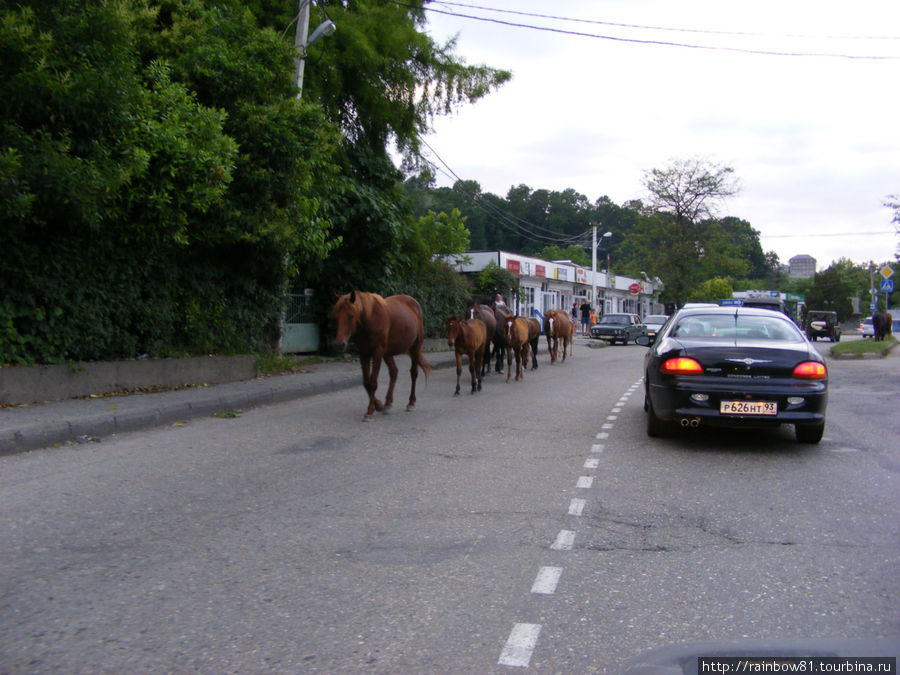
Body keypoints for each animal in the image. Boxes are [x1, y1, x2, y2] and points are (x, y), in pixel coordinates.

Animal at [334, 292, 432, 422]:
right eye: (336, 316)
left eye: (351, 316)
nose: (339, 344)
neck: (370, 319)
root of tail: (414, 303)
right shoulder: (364, 354)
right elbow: (366, 382)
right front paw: (378, 405)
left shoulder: (377, 353)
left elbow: (373, 382)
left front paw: (369, 412)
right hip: (388, 353)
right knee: (394, 372)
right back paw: (388, 404)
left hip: (415, 348)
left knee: (413, 373)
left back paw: (411, 403)